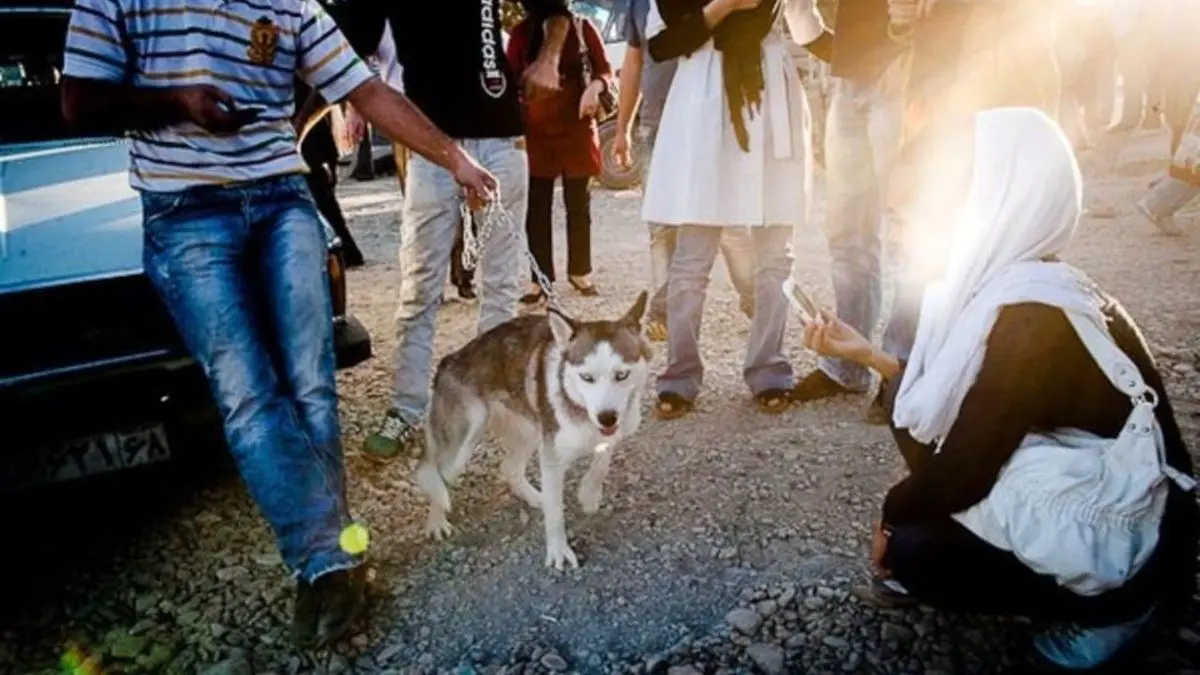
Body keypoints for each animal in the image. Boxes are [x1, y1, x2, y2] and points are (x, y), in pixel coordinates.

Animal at [417, 290, 652, 566]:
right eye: (586, 377)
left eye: (622, 375)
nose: (607, 418)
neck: (580, 409)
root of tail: (448, 360)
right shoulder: (552, 457)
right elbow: (556, 515)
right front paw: (558, 551)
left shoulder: (616, 428)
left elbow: (602, 461)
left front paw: (589, 495)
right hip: (464, 439)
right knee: (435, 474)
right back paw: (436, 522)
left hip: (529, 430)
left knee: (508, 468)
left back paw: (535, 497)